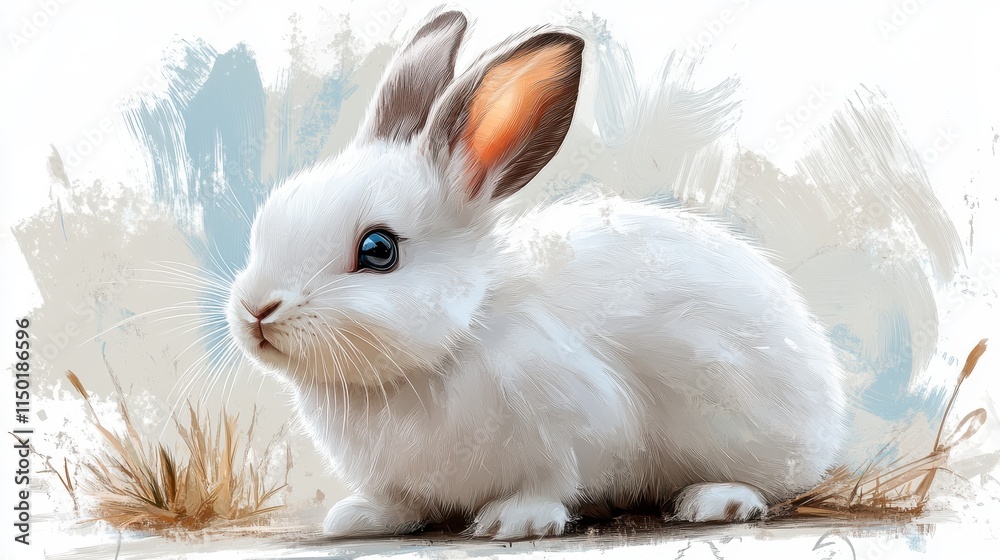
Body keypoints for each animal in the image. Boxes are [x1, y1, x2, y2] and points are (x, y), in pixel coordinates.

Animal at [225, 8, 848, 540]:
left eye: (378, 250)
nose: (256, 310)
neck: (456, 337)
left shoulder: (577, 425)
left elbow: (552, 482)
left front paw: (515, 521)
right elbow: (398, 500)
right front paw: (358, 518)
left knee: (771, 484)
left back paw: (717, 501)